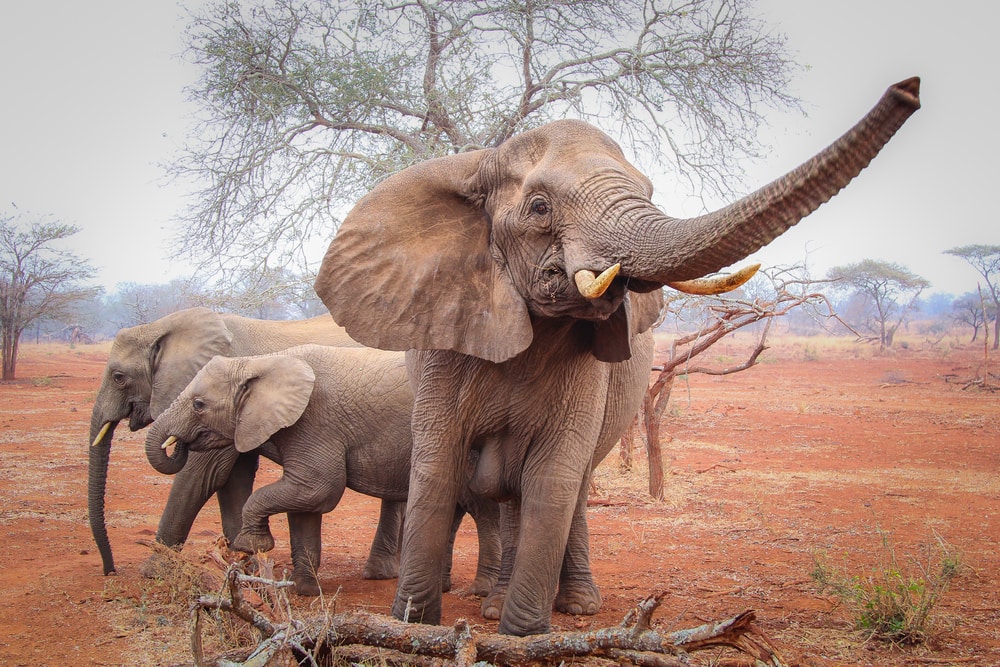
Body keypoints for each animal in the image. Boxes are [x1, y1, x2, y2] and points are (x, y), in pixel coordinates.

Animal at [88, 307, 375, 577]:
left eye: (118, 377)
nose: (110, 570)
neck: (161, 327)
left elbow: (202, 474)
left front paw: (154, 570)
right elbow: (232, 478)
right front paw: (245, 566)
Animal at [143, 344, 502, 597]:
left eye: (198, 405)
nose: (177, 444)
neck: (262, 361)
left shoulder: (314, 424)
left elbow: (319, 489)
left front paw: (251, 545)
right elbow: (305, 506)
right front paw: (306, 591)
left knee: (483, 511)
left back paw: (481, 592)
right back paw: (444, 588)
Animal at [313, 77, 921, 635]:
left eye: (650, 190)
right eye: (539, 207)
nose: (909, 92)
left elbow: (554, 478)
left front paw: (524, 635)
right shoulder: (445, 342)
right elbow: (436, 469)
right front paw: (415, 626)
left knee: (569, 487)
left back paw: (575, 606)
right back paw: (496, 605)